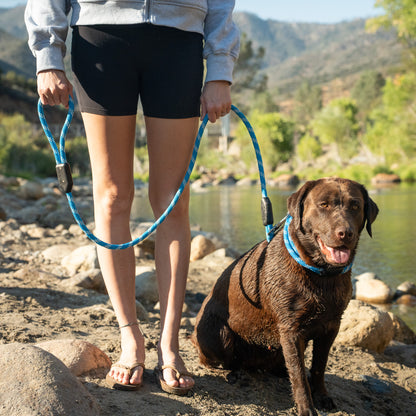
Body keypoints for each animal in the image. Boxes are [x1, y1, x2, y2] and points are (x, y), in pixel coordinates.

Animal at [193, 178, 378, 416]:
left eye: (355, 206)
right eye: (324, 204)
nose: (345, 233)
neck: (321, 274)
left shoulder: (331, 326)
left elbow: (319, 366)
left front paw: (322, 396)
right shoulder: (291, 329)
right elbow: (298, 375)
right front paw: (306, 407)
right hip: (217, 334)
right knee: (221, 360)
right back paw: (235, 373)